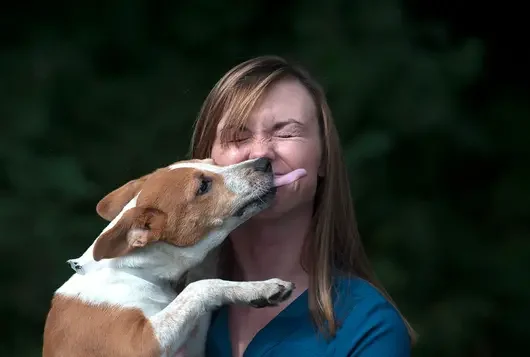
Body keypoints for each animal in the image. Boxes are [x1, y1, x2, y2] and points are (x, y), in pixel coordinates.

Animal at [43, 158, 308, 356]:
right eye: (203, 186)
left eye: (213, 162)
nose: (265, 161)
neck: (135, 272)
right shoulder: (142, 344)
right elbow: (199, 287)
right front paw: (261, 288)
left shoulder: (190, 347)